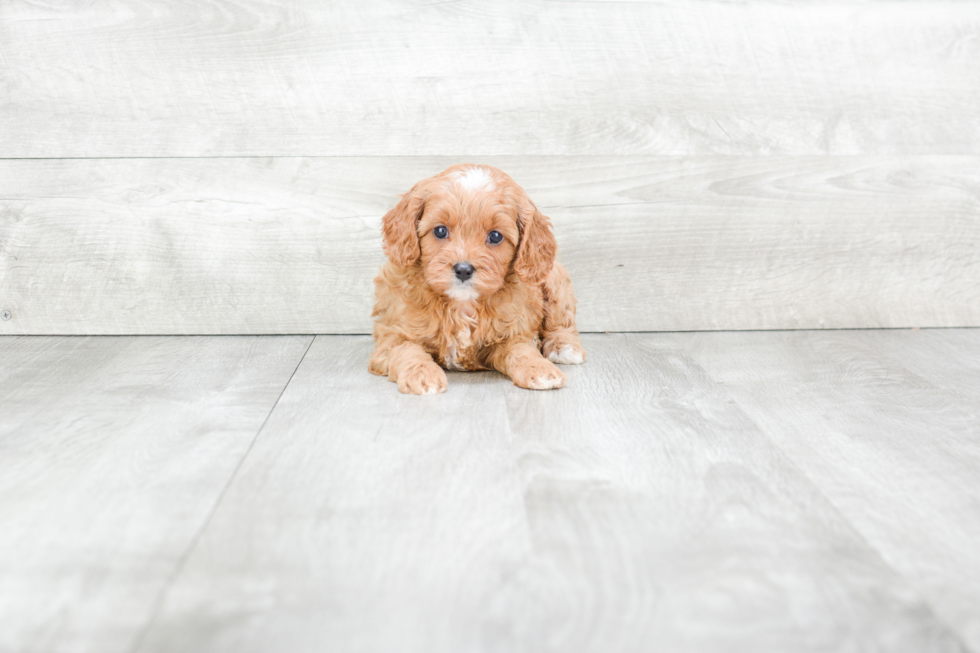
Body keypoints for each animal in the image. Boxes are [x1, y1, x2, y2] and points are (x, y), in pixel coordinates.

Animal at [366, 166, 580, 394]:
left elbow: (522, 350)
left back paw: (565, 348)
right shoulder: (392, 334)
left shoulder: (513, 334)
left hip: (556, 278)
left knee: (562, 322)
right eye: (440, 231)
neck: (462, 303)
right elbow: (407, 349)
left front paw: (540, 368)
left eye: (495, 236)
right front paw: (422, 375)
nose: (463, 269)